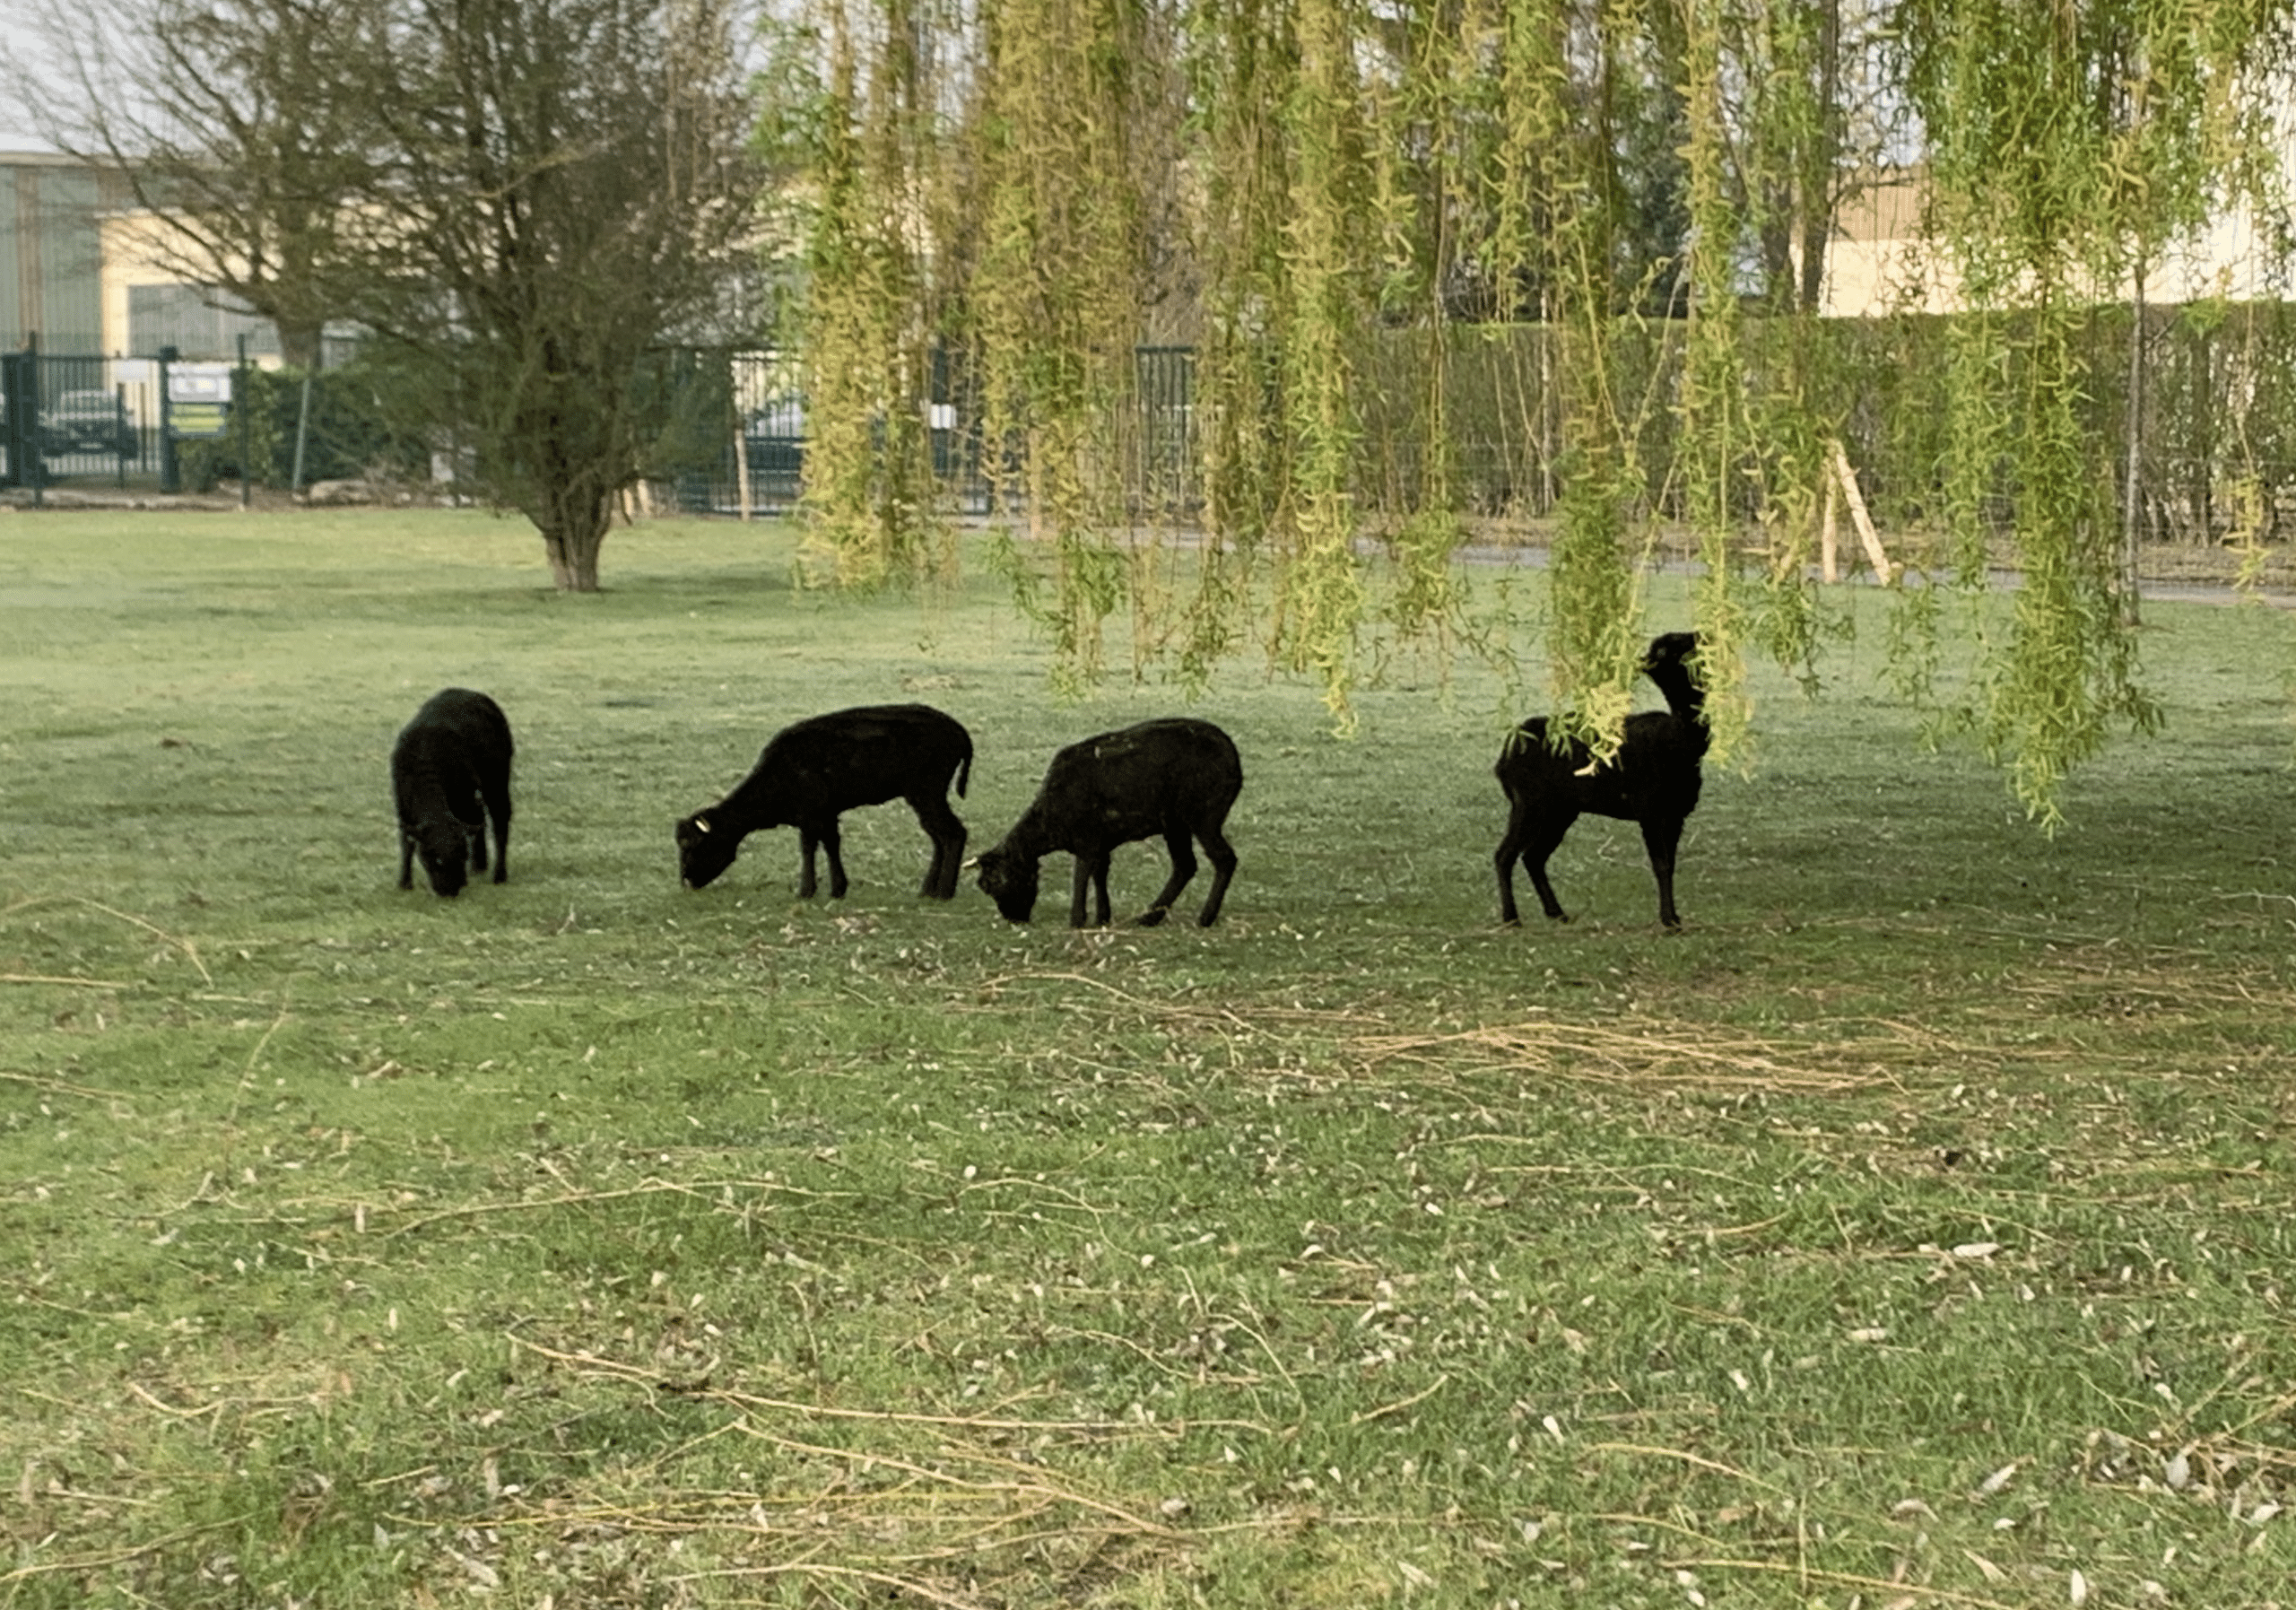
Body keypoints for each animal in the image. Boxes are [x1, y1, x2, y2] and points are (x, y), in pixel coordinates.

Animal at [396, 684, 518, 900]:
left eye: (462, 855)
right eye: (431, 858)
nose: (450, 891)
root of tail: (470, 692)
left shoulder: (463, 793)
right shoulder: (402, 805)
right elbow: (407, 842)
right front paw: (404, 883)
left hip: (496, 778)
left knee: (499, 818)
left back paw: (498, 875)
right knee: (479, 817)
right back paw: (479, 867)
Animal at [674, 707, 973, 904]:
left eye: (693, 845)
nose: (686, 882)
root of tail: (960, 732)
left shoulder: (809, 813)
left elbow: (808, 847)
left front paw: (806, 891)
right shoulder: (826, 813)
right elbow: (831, 844)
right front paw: (838, 889)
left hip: (927, 790)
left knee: (953, 833)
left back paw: (944, 893)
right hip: (926, 794)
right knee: (938, 835)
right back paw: (927, 890)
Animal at [978, 721, 1248, 927]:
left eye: (993, 883)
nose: (1014, 919)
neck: (1048, 821)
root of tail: (1233, 757)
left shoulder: (1086, 838)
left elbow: (1081, 874)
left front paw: (1076, 920)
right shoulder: (1101, 841)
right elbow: (1100, 873)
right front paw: (1102, 917)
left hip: (1202, 816)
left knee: (1222, 859)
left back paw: (1204, 917)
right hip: (1176, 823)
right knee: (1185, 866)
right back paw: (1150, 917)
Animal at [1497, 629, 1717, 927]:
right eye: (1663, 650)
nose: (1703, 633)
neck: (1680, 746)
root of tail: (1501, 762)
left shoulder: (1676, 812)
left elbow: (1670, 864)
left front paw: (1675, 917)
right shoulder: (1647, 806)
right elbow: (1660, 864)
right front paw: (1668, 920)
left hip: (1561, 808)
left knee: (1533, 855)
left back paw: (1557, 913)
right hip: (1529, 801)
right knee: (1505, 854)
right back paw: (1511, 918)